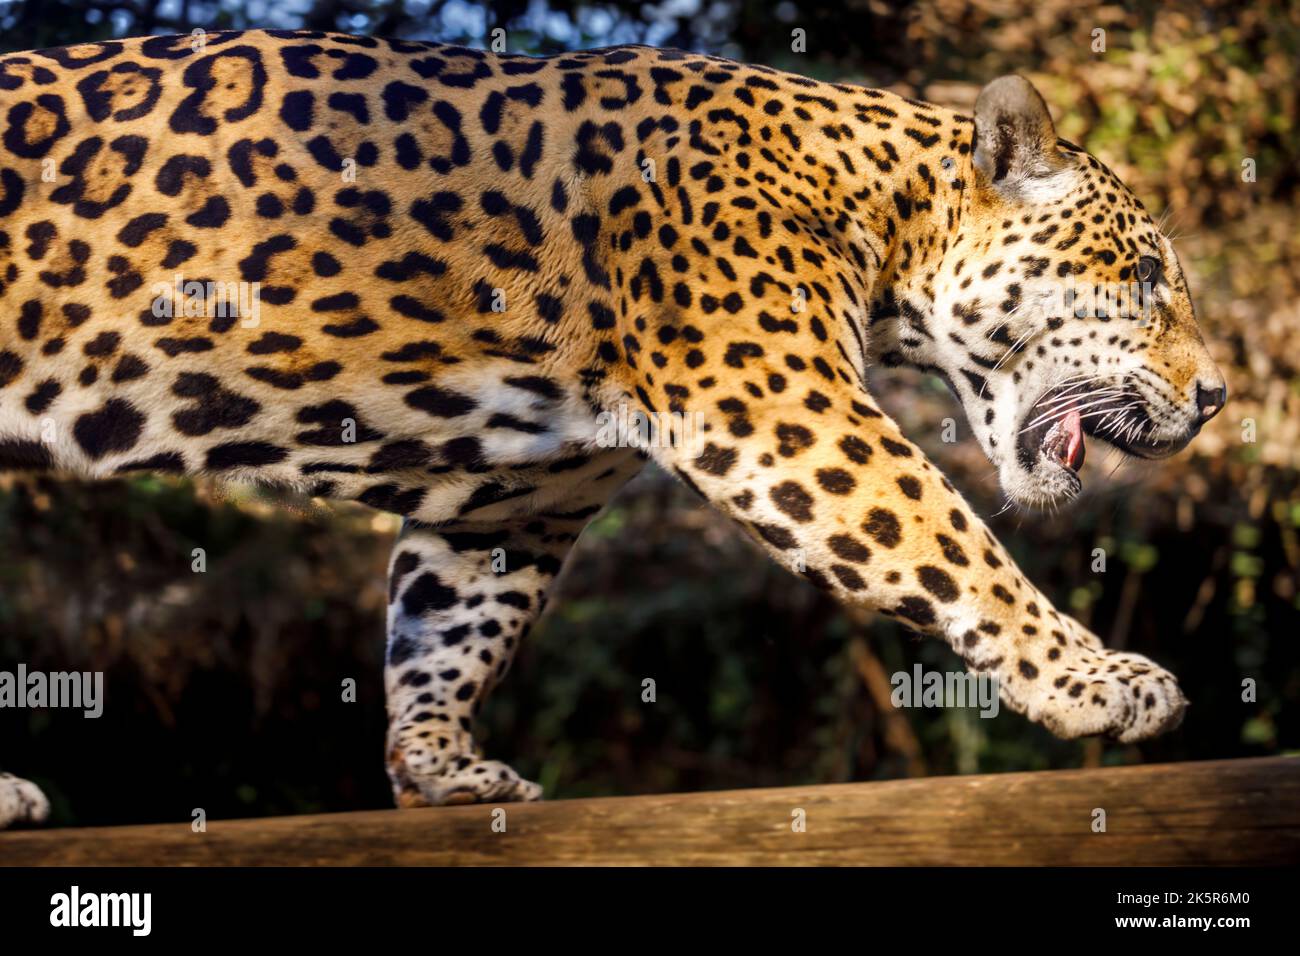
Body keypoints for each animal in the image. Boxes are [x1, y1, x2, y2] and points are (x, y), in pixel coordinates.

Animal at [0, 29, 1226, 827]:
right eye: (1145, 276)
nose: (1217, 395)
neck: (881, 210)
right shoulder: (782, 407)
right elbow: (951, 539)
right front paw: (1093, 680)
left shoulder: (514, 501)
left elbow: (445, 630)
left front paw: (439, 771)